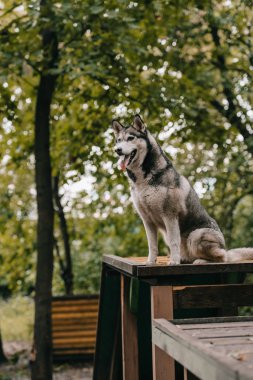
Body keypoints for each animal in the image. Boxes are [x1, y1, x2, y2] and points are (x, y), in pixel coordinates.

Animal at [112, 114, 253, 266]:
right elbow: (152, 245)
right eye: (118, 140)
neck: (143, 180)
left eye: (130, 138)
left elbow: (174, 241)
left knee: (222, 258)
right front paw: (150, 262)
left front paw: (173, 262)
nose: (117, 150)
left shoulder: (170, 216)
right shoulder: (147, 220)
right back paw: (184, 259)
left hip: (196, 235)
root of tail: (225, 247)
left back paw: (200, 260)